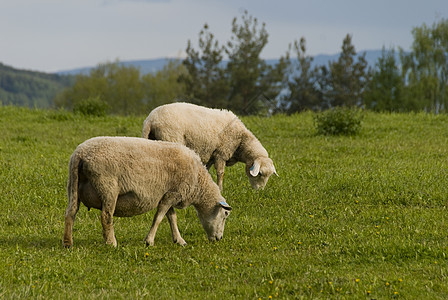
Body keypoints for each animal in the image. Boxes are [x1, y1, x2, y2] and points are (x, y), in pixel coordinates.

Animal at [62, 135, 231, 246]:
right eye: (225, 214)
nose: (220, 239)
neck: (198, 182)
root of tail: (81, 154)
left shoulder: (167, 194)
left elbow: (172, 217)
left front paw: (179, 240)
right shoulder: (173, 194)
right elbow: (159, 217)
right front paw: (149, 241)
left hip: (73, 185)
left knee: (70, 212)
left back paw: (68, 243)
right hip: (108, 187)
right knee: (106, 216)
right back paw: (111, 243)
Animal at [143, 102, 276, 190]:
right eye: (260, 174)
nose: (259, 191)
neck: (241, 142)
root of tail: (150, 119)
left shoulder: (211, 155)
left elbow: (206, 170)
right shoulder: (220, 154)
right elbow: (221, 173)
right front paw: (220, 189)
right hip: (170, 138)